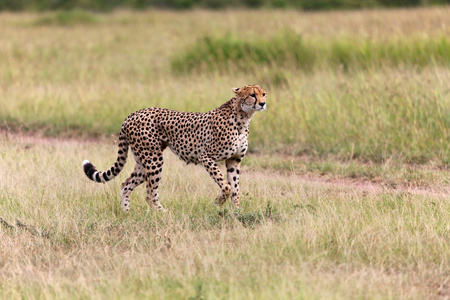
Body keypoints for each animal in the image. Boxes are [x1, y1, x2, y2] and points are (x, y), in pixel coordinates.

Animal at [82, 84, 268, 211]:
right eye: (252, 95)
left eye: (264, 94)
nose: (263, 103)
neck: (243, 117)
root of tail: (132, 114)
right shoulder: (206, 156)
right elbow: (227, 186)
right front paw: (218, 202)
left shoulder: (234, 161)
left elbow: (235, 187)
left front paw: (236, 211)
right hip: (154, 159)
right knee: (150, 194)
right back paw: (161, 213)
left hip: (143, 161)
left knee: (125, 184)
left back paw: (126, 213)